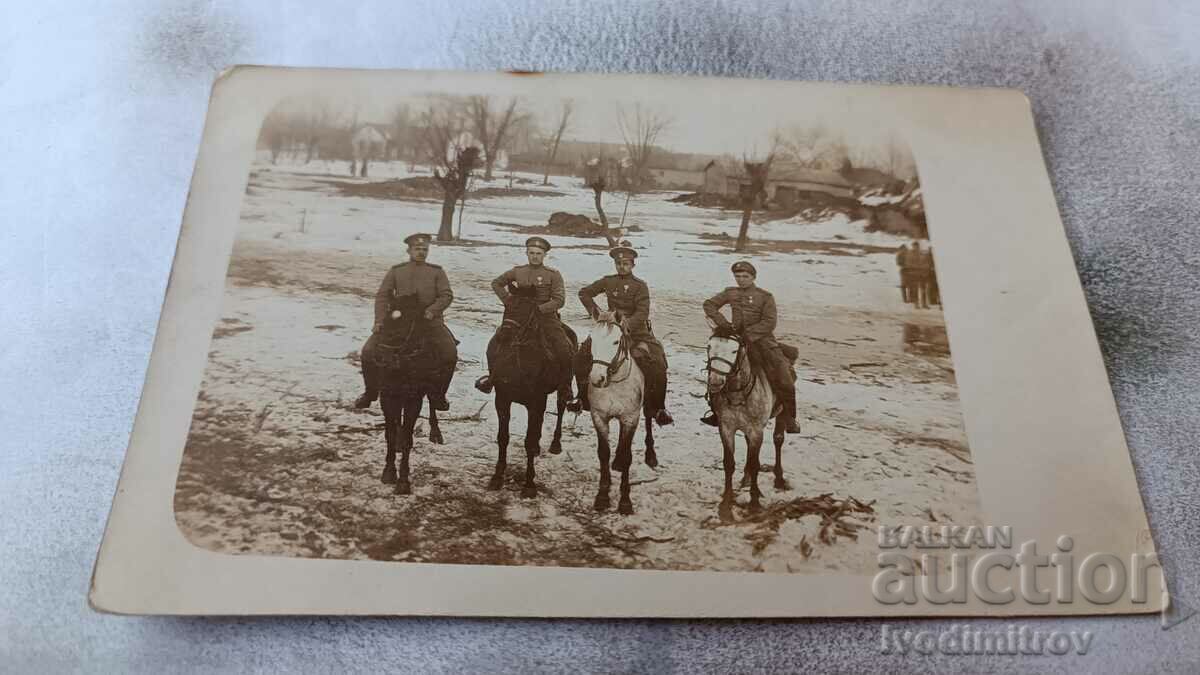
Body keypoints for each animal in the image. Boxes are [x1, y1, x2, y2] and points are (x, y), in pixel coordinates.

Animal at [489, 285, 578, 497]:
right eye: (507, 305)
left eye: (527, 309)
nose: (504, 335)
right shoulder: (502, 399)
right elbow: (503, 438)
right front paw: (497, 476)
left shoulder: (535, 402)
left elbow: (528, 442)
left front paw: (529, 484)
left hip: (560, 390)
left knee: (560, 408)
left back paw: (555, 444)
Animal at [583, 312, 652, 514]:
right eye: (592, 339)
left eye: (615, 341)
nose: (596, 378)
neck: (614, 382)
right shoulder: (599, 417)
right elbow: (603, 453)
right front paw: (602, 496)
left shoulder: (630, 418)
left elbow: (628, 456)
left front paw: (625, 501)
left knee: (650, 421)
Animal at [705, 331, 792, 521]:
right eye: (709, 346)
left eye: (734, 350)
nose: (715, 381)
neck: (738, 393)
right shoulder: (726, 428)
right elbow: (729, 463)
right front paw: (726, 503)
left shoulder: (756, 431)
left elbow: (755, 464)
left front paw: (754, 502)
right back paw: (745, 478)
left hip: (781, 414)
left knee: (778, 440)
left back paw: (779, 479)